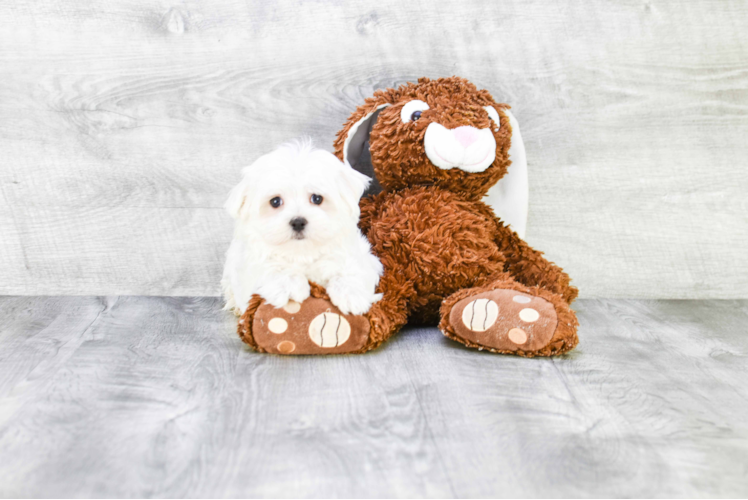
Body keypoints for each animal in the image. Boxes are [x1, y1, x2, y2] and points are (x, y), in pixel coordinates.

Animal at [221, 139, 386, 314]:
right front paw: (290, 285)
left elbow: (353, 267)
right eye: (275, 201)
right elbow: (270, 267)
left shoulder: (362, 255)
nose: (298, 222)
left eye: (317, 198)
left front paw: (351, 294)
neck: (303, 253)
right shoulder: (248, 265)